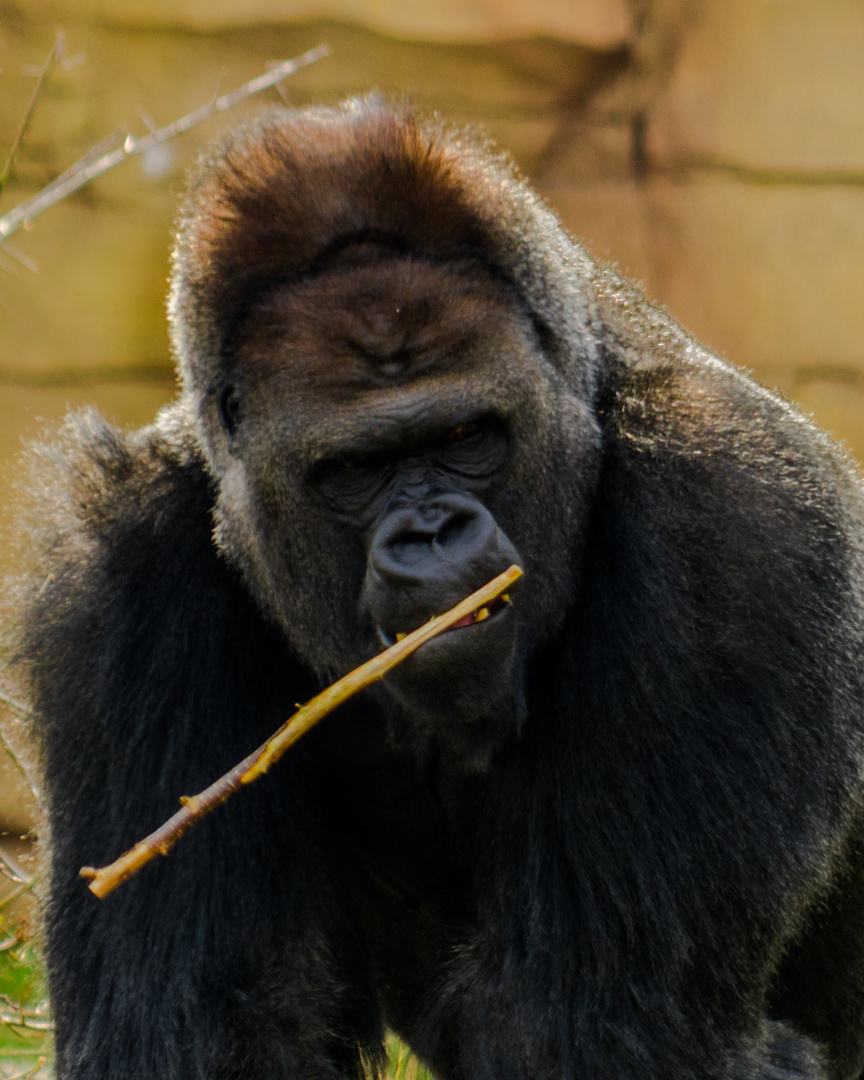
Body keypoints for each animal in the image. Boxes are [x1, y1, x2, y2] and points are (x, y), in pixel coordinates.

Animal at [10, 95, 864, 1080]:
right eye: (356, 468)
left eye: (464, 435)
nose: (430, 535)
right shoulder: (120, 574)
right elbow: (205, 1021)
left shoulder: (736, 515)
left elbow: (593, 1016)